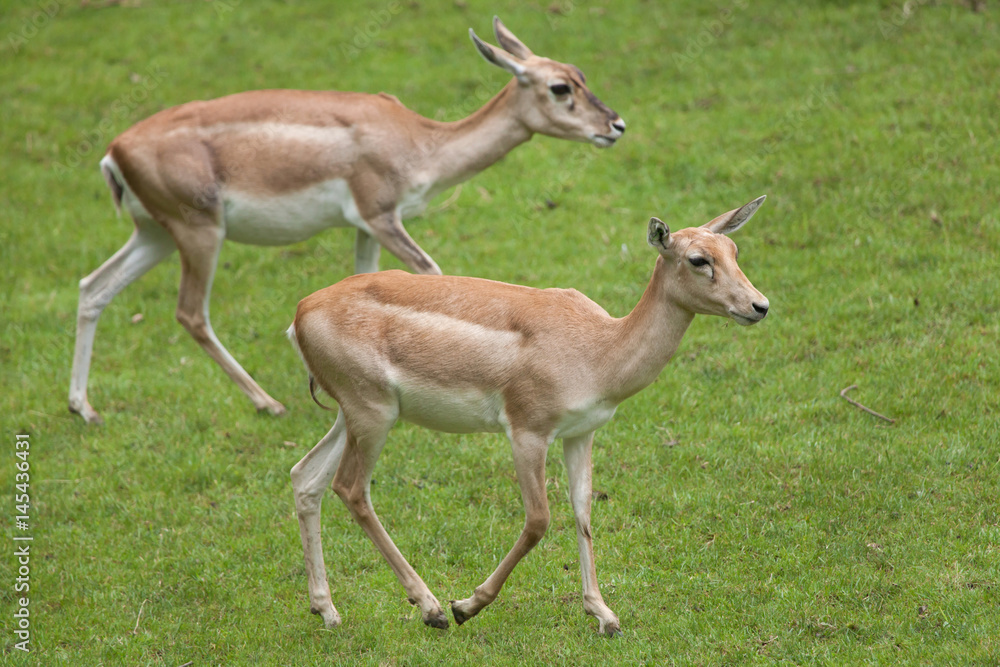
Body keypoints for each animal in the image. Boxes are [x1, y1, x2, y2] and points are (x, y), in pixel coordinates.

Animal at [68, 18, 624, 426]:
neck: (421, 141)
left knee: (93, 286)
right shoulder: (381, 216)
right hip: (200, 232)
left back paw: (84, 409)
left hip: (155, 234)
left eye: (580, 74)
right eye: (559, 87)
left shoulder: (363, 228)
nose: (615, 125)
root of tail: (115, 151)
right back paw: (267, 402)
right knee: (190, 312)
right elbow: (432, 272)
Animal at [286, 194, 768, 636]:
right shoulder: (527, 431)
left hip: (350, 415)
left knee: (306, 477)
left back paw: (327, 611)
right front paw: (467, 605)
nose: (759, 306)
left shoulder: (581, 433)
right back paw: (431, 608)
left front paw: (604, 614)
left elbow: (582, 512)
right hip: (373, 414)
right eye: (698, 259)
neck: (600, 350)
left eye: (734, 250)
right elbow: (539, 520)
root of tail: (300, 312)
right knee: (351, 488)